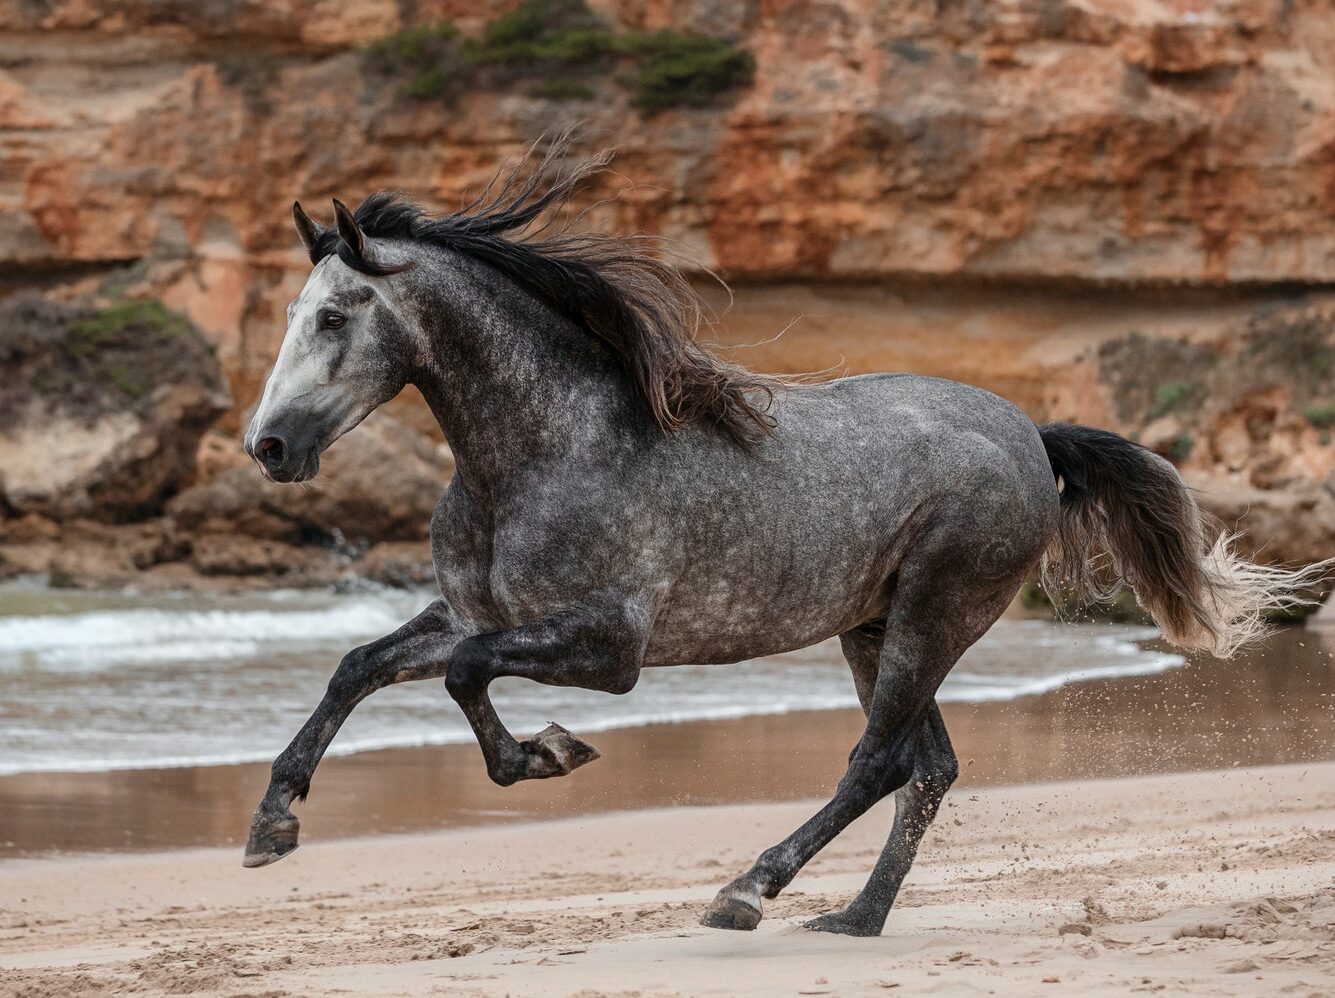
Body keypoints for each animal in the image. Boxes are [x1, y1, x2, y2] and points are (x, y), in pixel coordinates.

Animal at [240, 135, 1324, 936]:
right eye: (292, 310)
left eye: (334, 316)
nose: (269, 444)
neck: (544, 447)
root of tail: (1031, 434)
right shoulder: (474, 610)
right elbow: (360, 664)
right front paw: (273, 823)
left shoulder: (609, 646)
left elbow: (467, 675)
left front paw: (547, 754)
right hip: (874, 626)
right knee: (926, 768)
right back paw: (853, 917)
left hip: (933, 614)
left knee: (879, 761)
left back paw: (748, 890)